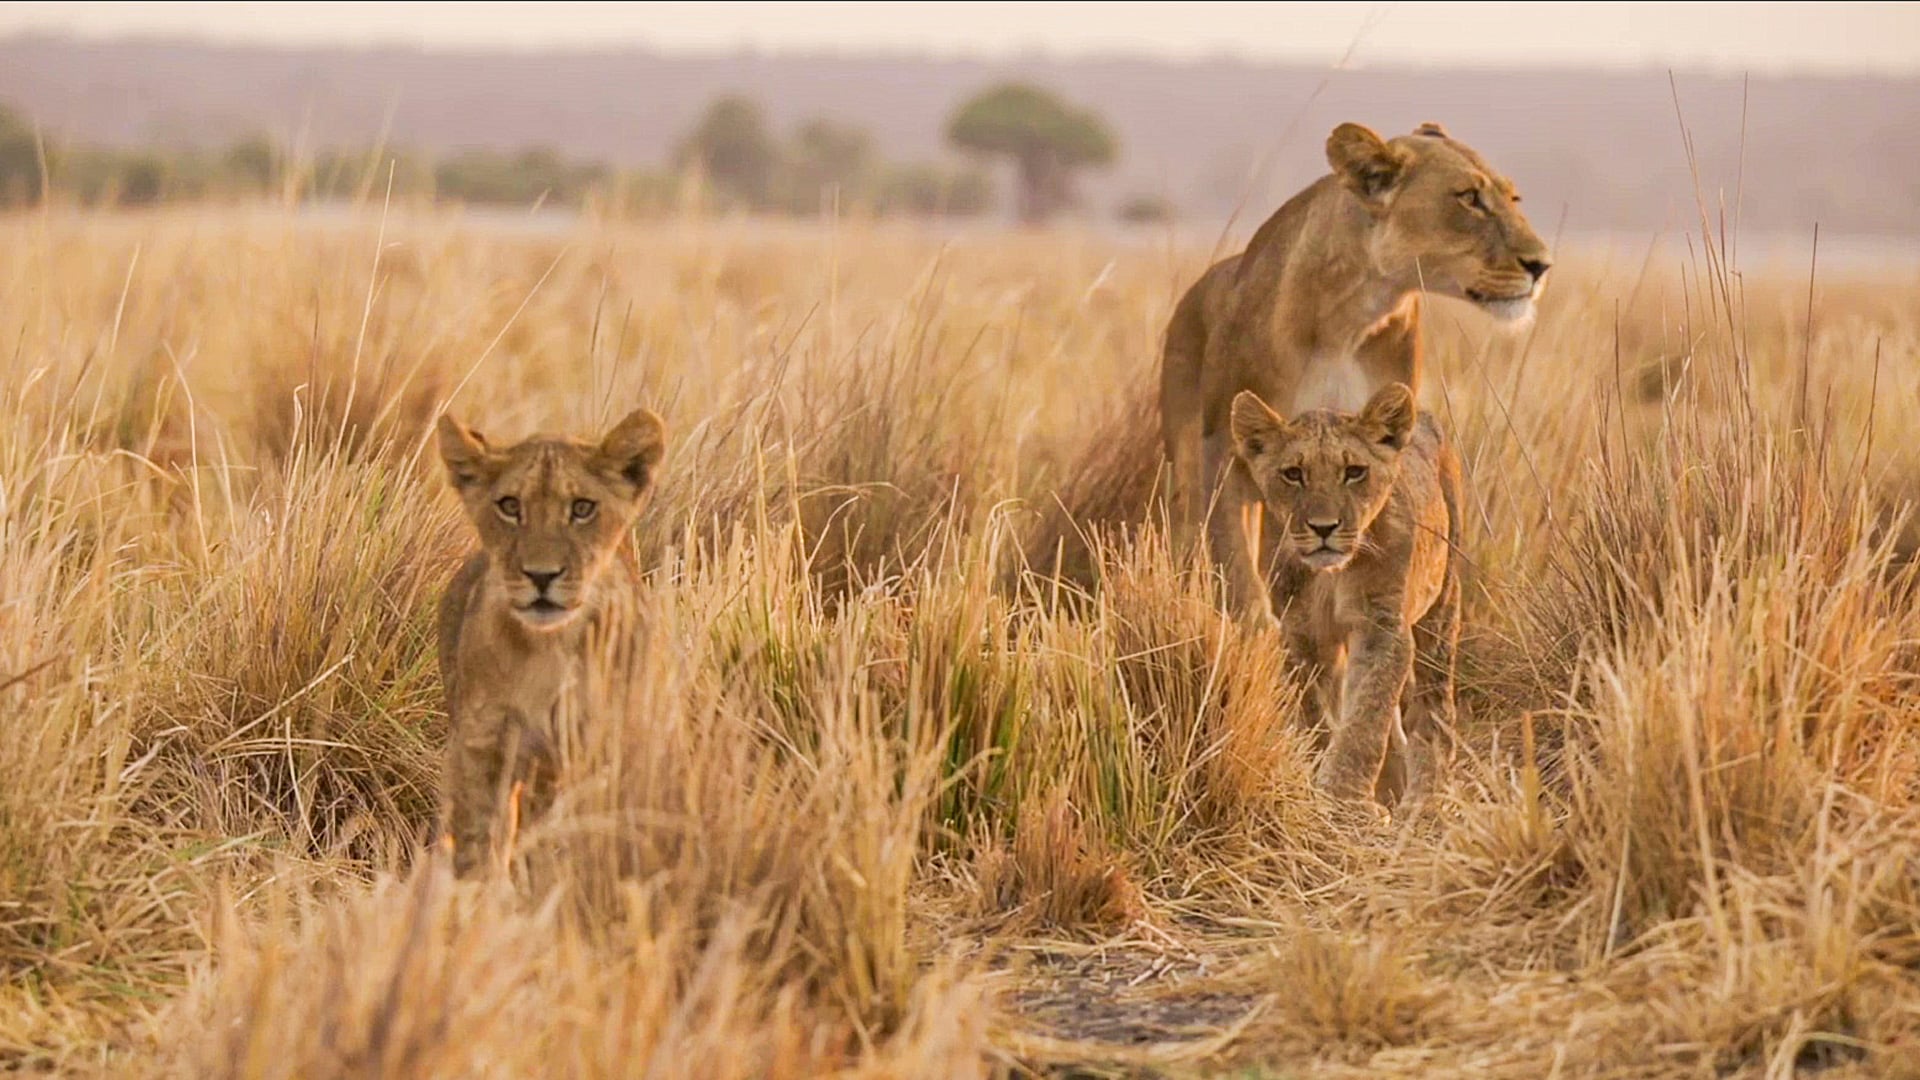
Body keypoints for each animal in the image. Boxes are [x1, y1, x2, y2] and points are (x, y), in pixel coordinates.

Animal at [434, 407, 666, 877]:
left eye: (582, 508)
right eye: (510, 506)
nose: (541, 576)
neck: (547, 649)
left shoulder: (592, 745)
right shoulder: (483, 742)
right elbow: (479, 836)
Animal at [1163, 121, 1546, 623]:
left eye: (1513, 198)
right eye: (1468, 198)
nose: (1542, 265)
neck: (1350, 315)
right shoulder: (1226, 447)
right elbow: (1238, 571)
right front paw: (1256, 630)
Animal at [1228, 382, 1460, 810]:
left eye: (1354, 472)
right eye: (1293, 474)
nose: (1324, 528)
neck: (1332, 575)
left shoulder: (1382, 626)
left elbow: (1366, 715)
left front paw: (1345, 797)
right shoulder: (1298, 630)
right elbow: (1315, 711)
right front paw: (1327, 780)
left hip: (1442, 608)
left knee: (1435, 713)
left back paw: (1423, 805)